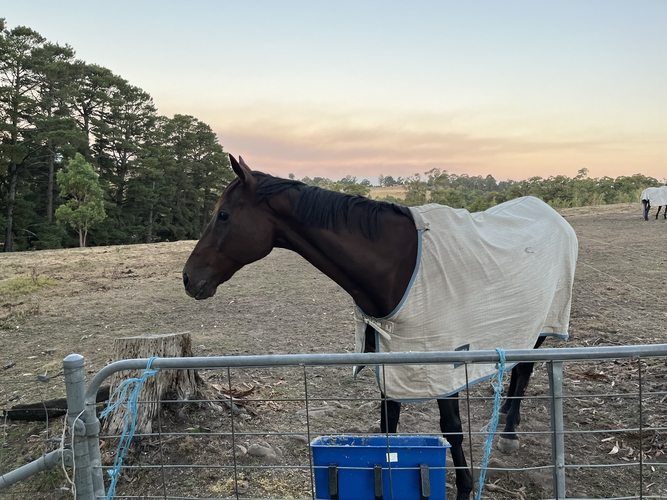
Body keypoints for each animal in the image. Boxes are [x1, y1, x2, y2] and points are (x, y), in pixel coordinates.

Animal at [183, 155, 578, 500]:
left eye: (223, 215)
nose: (188, 278)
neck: (397, 266)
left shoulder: (441, 363)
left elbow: (452, 429)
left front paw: (465, 489)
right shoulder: (391, 356)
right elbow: (388, 426)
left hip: (541, 325)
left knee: (523, 370)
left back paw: (509, 433)